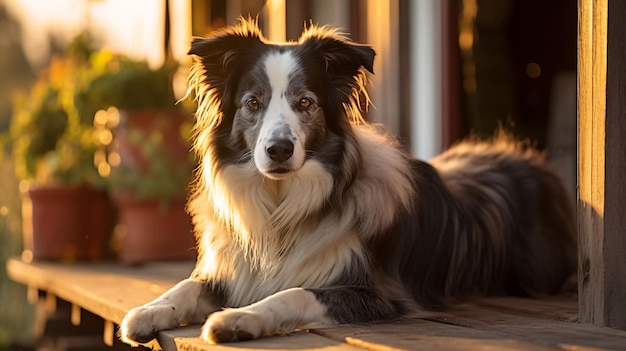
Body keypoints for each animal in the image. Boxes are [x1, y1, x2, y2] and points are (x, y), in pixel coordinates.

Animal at [118, 19, 576, 346]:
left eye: (306, 103)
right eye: (253, 103)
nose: (279, 150)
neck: (282, 207)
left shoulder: (374, 292)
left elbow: (295, 292)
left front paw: (240, 317)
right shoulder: (234, 270)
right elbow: (185, 286)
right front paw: (148, 311)